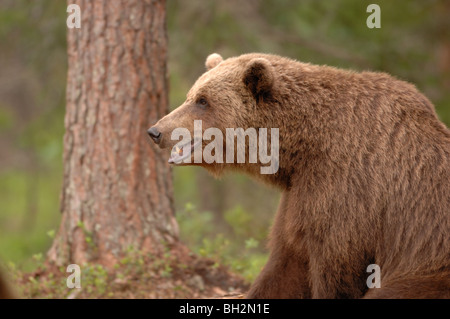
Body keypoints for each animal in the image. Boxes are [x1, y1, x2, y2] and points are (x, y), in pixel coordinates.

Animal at [149, 52, 450, 300]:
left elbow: (336, 268)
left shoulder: (349, 193)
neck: (304, 148)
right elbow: (286, 264)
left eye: (203, 101)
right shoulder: (299, 195)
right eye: (191, 96)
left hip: (429, 265)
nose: (155, 131)